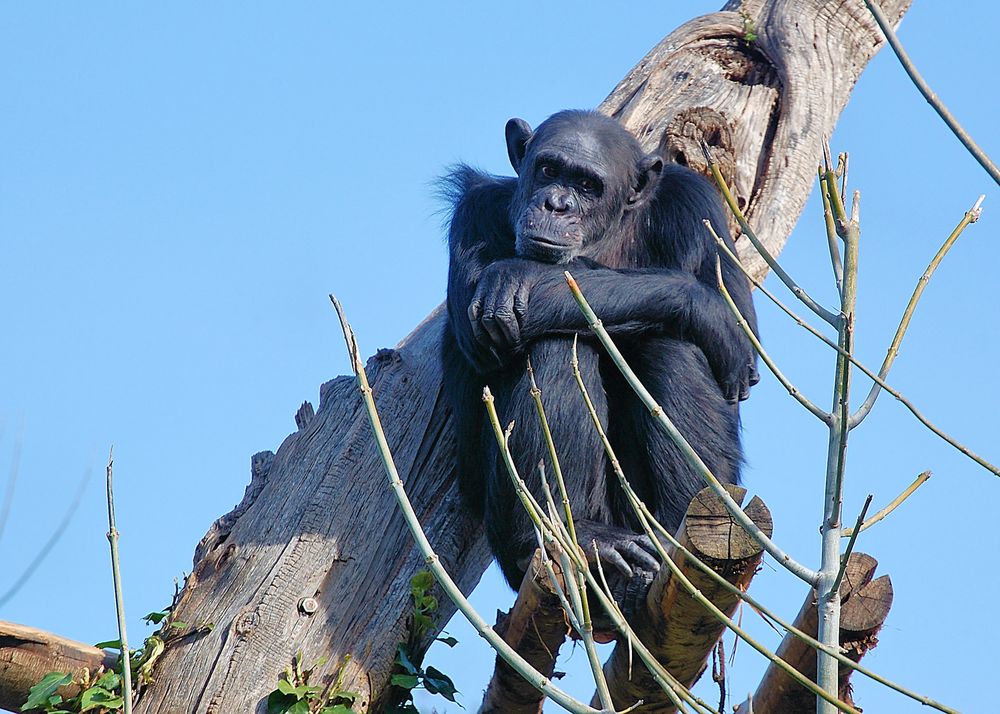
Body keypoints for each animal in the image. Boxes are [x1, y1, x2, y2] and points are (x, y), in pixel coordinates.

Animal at [442, 107, 752, 596]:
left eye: (588, 185)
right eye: (549, 170)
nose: (556, 204)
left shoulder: (696, 205)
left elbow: (738, 318)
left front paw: (516, 274)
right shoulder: (474, 212)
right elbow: (478, 337)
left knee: (671, 343)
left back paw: (683, 539)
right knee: (555, 344)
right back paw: (577, 540)